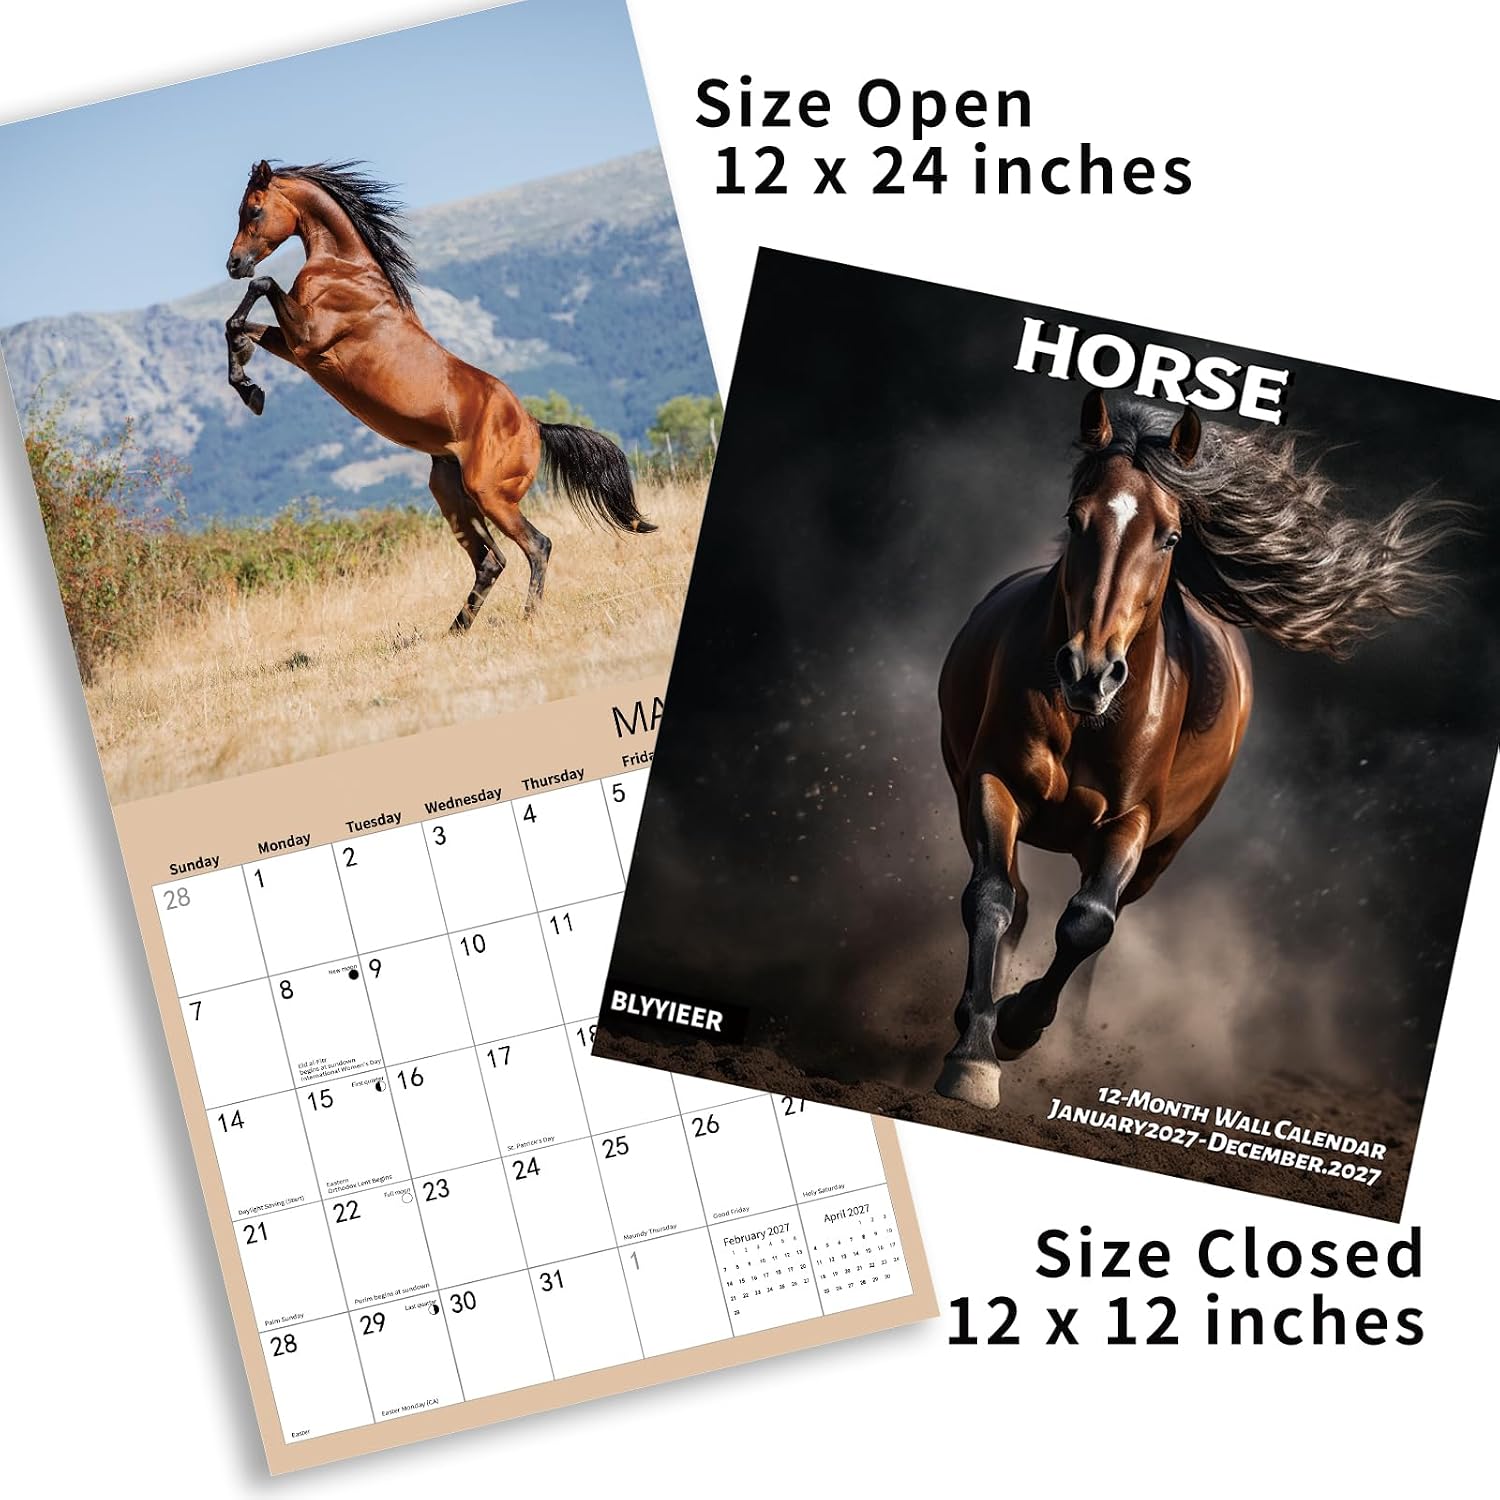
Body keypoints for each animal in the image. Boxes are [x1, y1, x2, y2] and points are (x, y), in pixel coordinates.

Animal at [222, 159, 653, 630]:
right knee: (490, 561)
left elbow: (262, 287)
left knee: (537, 545)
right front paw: (249, 389)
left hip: (490, 495)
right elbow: (239, 326)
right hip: (452, 493)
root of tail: (534, 425)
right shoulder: (299, 349)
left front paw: (249, 386)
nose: (233, 264)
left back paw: (526, 617)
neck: (344, 269)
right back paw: (456, 631)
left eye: (254, 209)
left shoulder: (309, 338)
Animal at [935, 389, 1467, 1108]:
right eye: (1076, 520)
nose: (1089, 673)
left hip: (1159, 853)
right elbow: (990, 896)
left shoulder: (1132, 824)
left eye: (1170, 536)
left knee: (1093, 928)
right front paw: (973, 1055)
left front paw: (1018, 1027)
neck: (1091, 723)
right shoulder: (994, 782)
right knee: (1015, 898)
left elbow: (1088, 923)